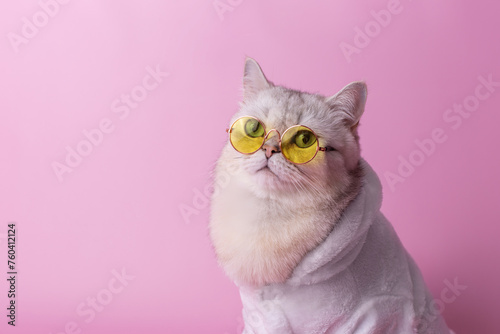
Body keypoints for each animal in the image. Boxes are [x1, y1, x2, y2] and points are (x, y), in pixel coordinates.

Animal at [209, 58, 452, 332]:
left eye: (304, 140)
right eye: (253, 129)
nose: (269, 149)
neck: (268, 213)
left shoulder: (379, 314)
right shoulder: (257, 319)